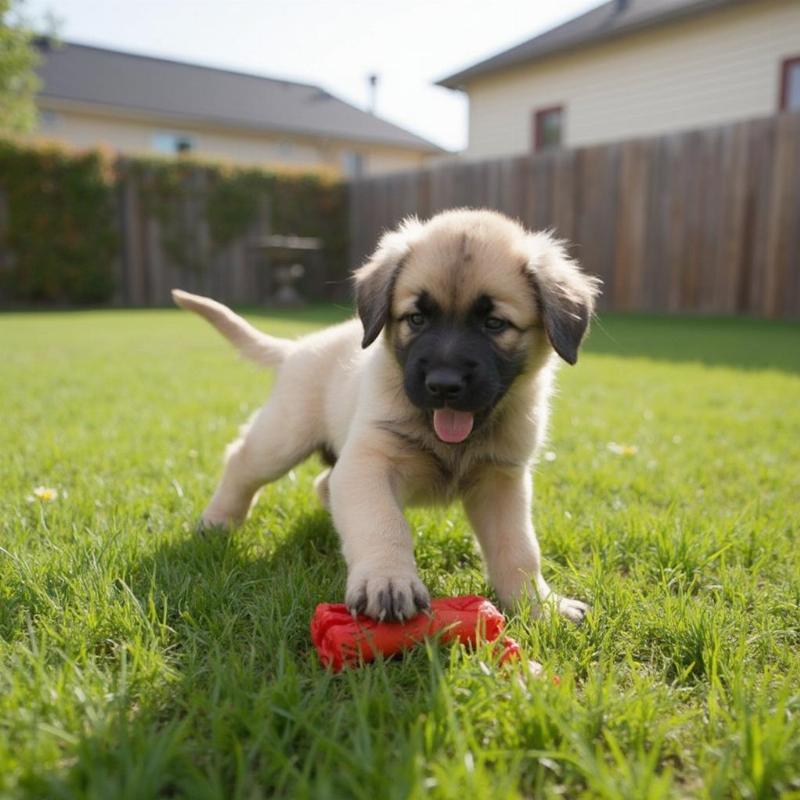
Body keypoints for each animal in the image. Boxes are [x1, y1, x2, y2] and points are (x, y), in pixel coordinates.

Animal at [175, 206, 600, 624]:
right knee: (243, 462)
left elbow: (519, 549)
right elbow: (383, 524)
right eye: (417, 319)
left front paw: (539, 605)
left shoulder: (501, 480)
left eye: (494, 323)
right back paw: (217, 522)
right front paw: (389, 581)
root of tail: (299, 346)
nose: (443, 385)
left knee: (323, 484)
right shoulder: (369, 462)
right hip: (283, 438)